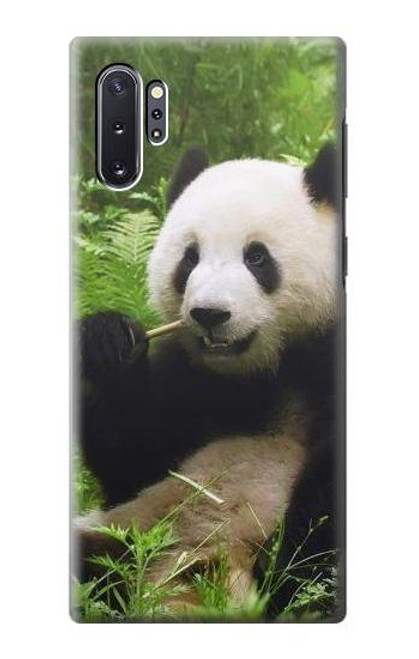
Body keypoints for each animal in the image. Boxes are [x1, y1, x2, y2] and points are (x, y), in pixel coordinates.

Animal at [77, 145, 345, 619]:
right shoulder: (188, 378)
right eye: (190, 258)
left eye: (257, 257)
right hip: (129, 531)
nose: (209, 314)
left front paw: (292, 573)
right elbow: (133, 462)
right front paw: (109, 343)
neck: (263, 371)